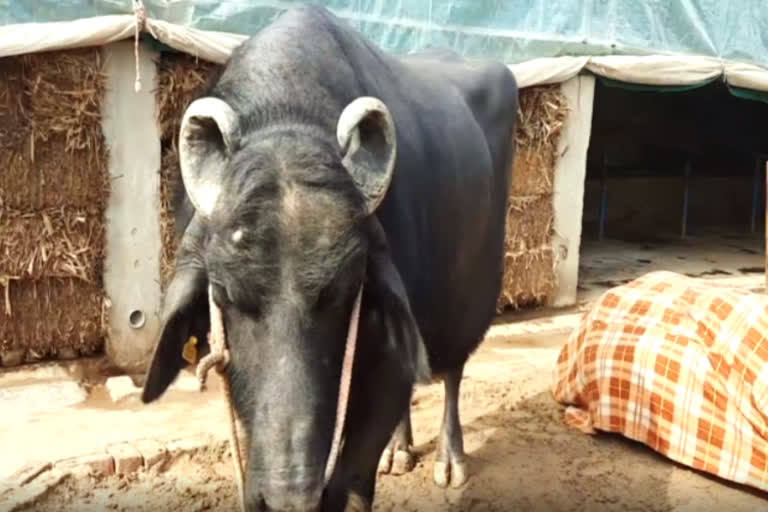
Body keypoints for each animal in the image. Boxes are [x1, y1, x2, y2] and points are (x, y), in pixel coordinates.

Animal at [141, 5, 520, 512]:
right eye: (223, 292)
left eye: (347, 287)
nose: (289, 493)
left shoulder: (385, 371)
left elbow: (353, 480)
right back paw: (400, 451)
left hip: (470, 304)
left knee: (453, 372)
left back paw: (449, 458)